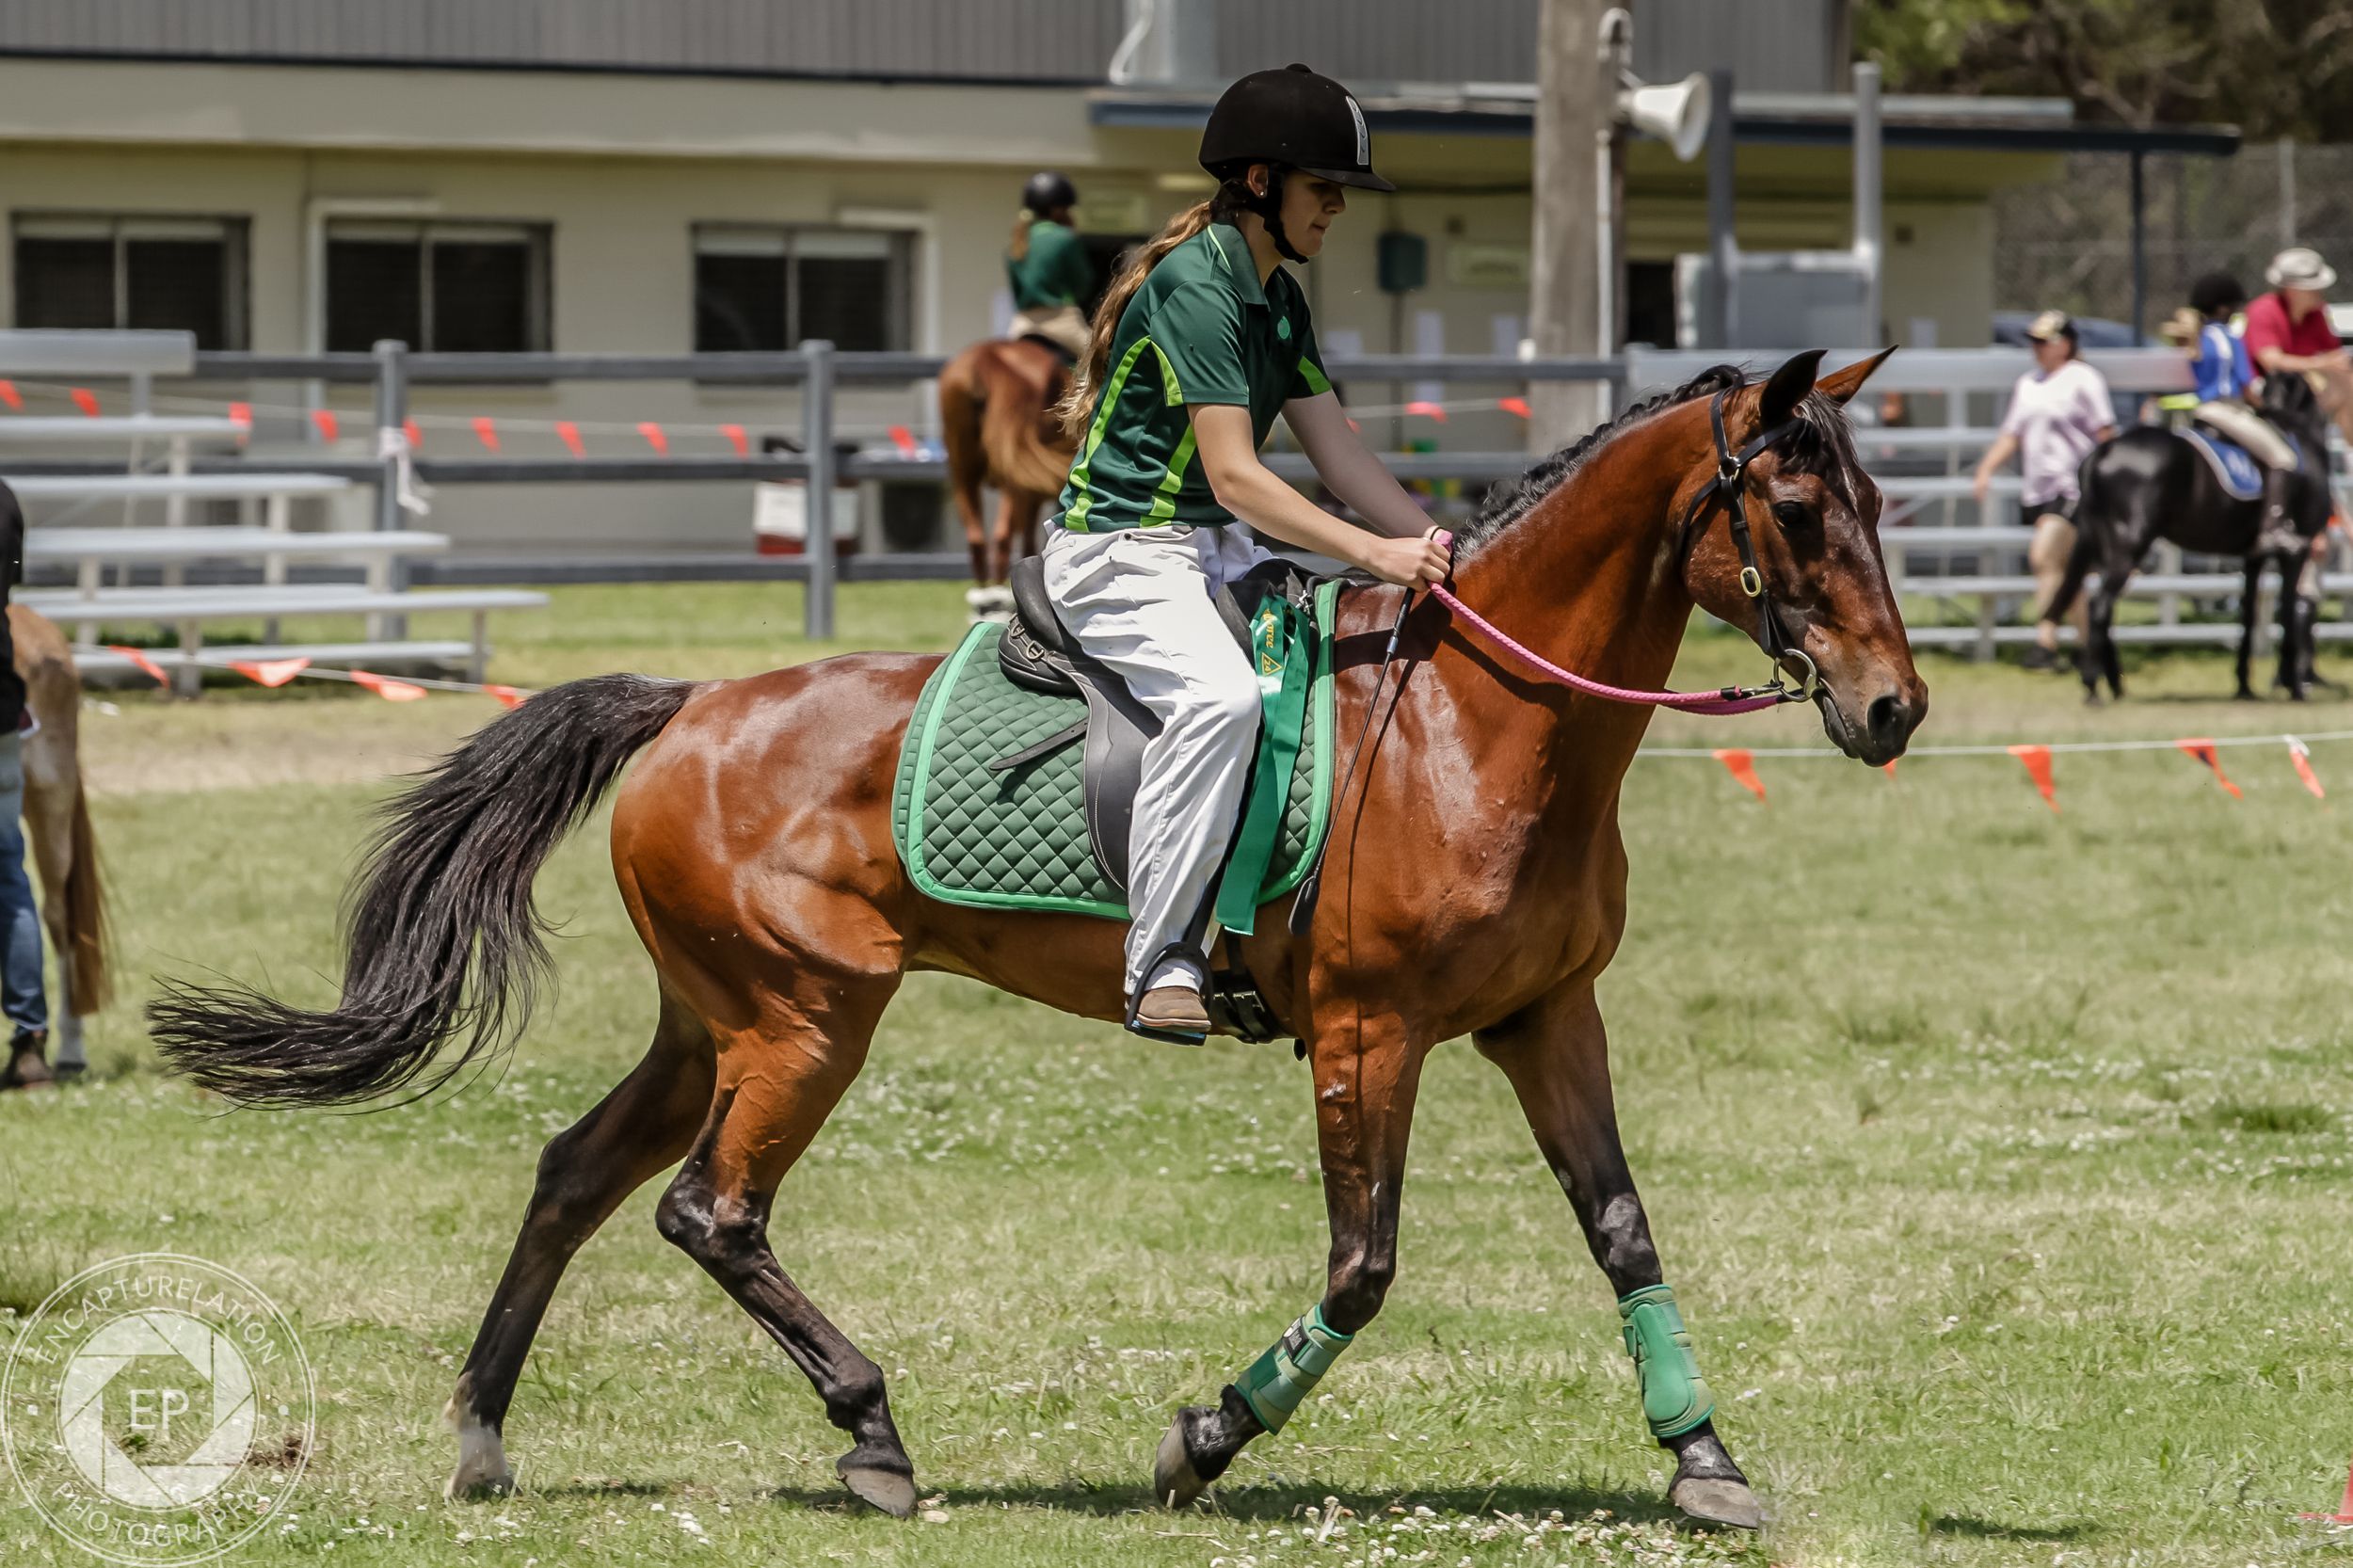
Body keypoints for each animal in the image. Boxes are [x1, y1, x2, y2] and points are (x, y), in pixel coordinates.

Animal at [937, 337, 1077, 591]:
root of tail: (987, 356)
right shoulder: (1031, 495)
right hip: (1013, 482)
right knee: (1002, 537)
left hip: (962, 471)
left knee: (978, 540)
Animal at [2051, 371, 2336, 702]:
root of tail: (2102, 451)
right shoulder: (2295, 551)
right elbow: (2290, 611)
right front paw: (2295, 687)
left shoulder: (2254, 556)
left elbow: (2248, 615)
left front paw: (2244, 686)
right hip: (2129, 546)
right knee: (2100, 606)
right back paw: (2093, 688)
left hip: (2105, 548)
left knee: (2104, 611)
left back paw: (2115, 685)